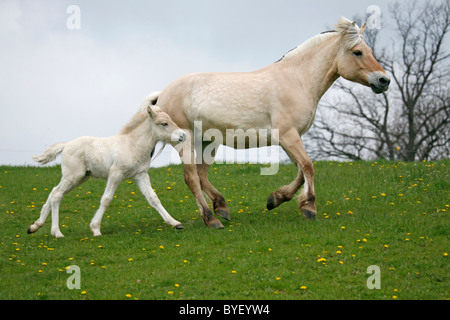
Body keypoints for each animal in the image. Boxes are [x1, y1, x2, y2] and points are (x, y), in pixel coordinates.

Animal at [28, 92, 186, 238]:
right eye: (164, 123)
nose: (182, 135)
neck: (132, 144)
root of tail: (66, 145)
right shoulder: (116, 173)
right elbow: (106, 199)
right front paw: (95, 229)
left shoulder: (140, 175)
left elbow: (153, 198)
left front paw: (174, 222)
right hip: (73, 176)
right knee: (56, 195)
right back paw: (57, 232)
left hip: (80, 177)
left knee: (54, 192)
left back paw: (35, 226)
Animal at [156, 17, 390, 229]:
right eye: (357, 52)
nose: (384, 81)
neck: (298, 80)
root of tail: (161, 96)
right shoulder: (288, 135)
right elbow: (308, 166)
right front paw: (309, 208)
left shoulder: (290, 138)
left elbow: (301, 171)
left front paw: (276, 199)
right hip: (186, 140)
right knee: (191, 178)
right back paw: (211, 219)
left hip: (208, 141)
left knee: (201, 175)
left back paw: (221, 207)